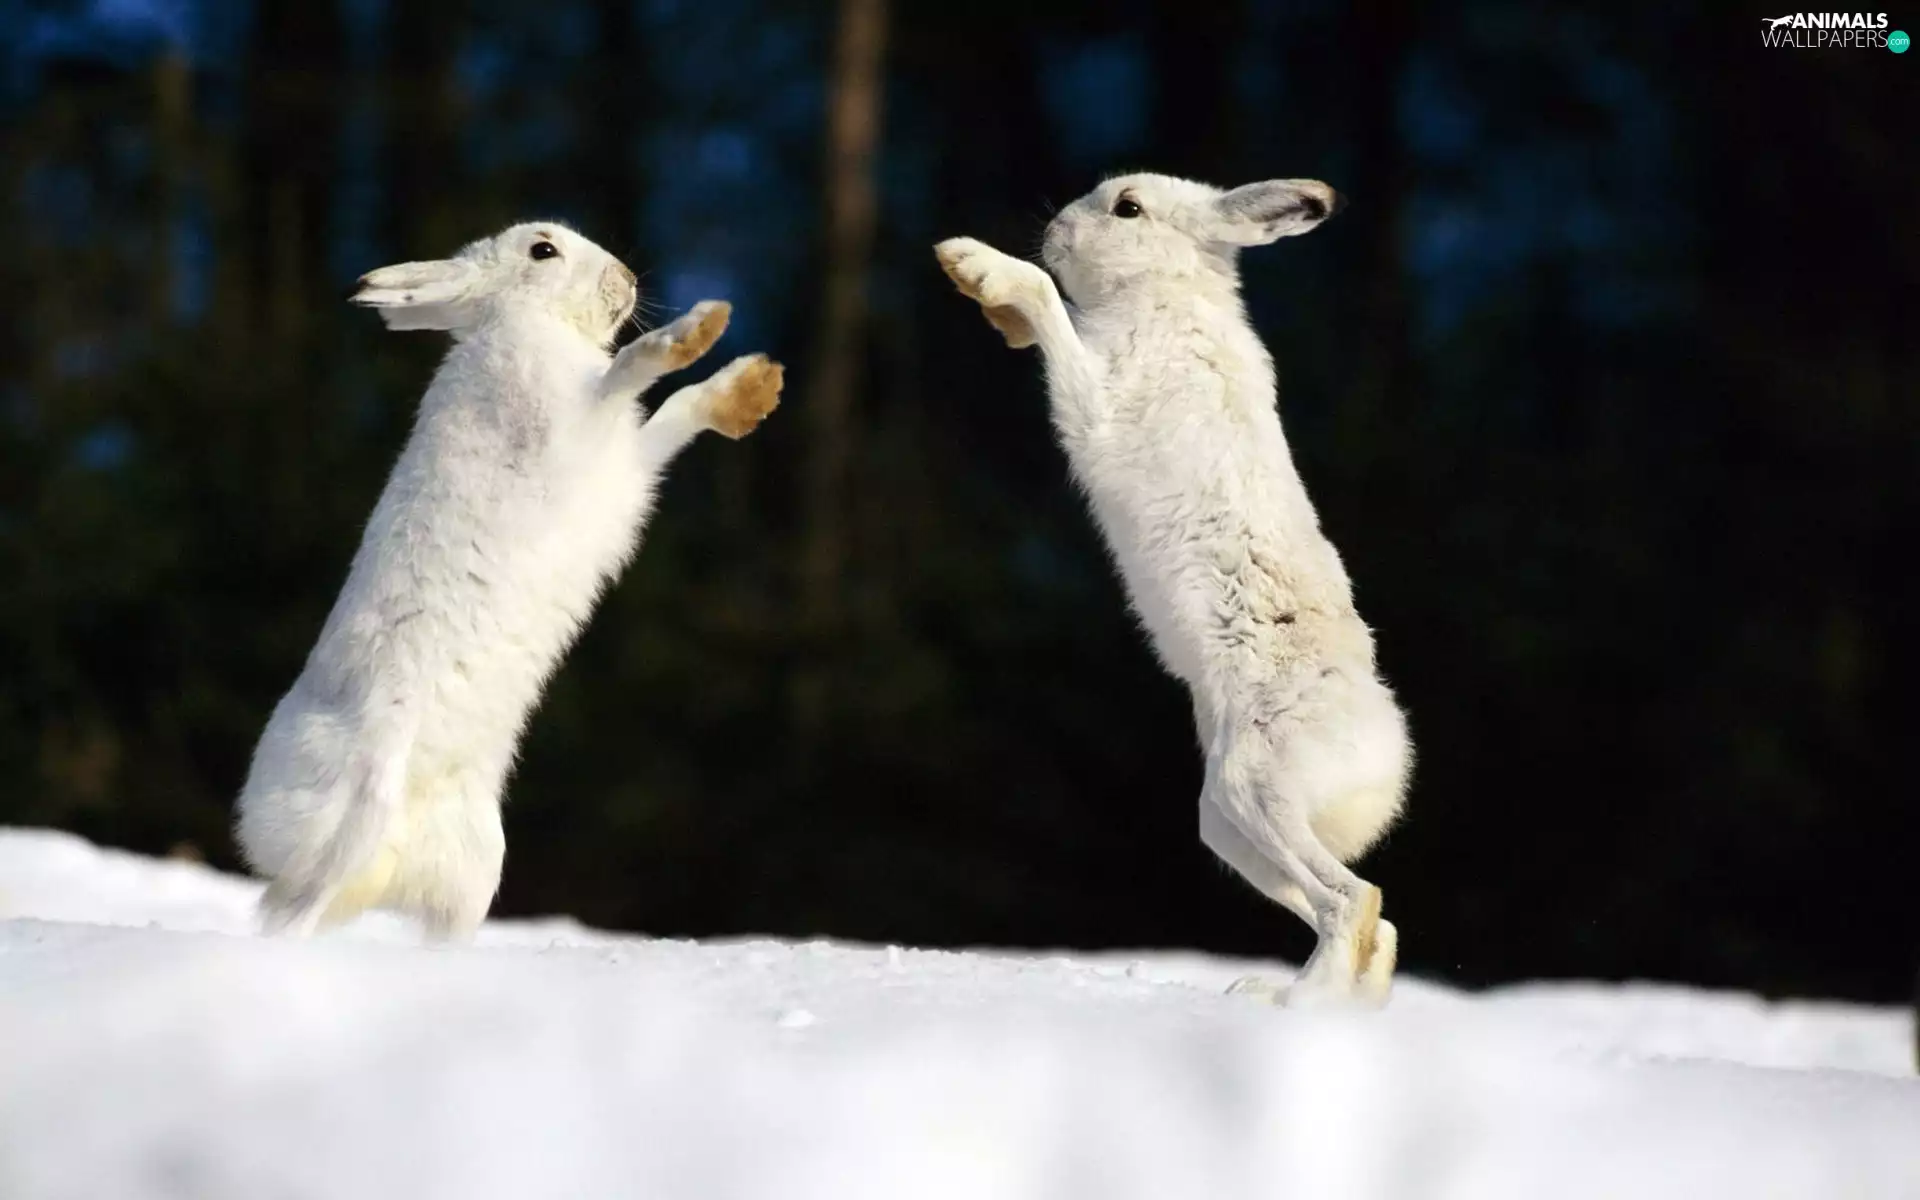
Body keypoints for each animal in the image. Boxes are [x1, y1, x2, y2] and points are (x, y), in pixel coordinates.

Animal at [235, 221, 783, 941]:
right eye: (542, 250)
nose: (626, 279)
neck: (522, 319)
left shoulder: (625, 464)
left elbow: (675, 412)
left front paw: (752, 387)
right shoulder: (567, 430)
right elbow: (627, 371)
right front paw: (694, 330)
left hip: (474, 866)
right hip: (353, 816)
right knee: (296, 913)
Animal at [935, 174, 1410, 1008]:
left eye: (1127, 208)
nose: (1055, 232)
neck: (1168, 292)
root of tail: (1388, 754)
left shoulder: (1099, 399)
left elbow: (1050, 309)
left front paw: (978, 266)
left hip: (1257, 788)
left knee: (1355, 904)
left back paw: (1296, 1002)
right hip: (1229, 827)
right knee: (1368, 920)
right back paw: (1296, 1001)